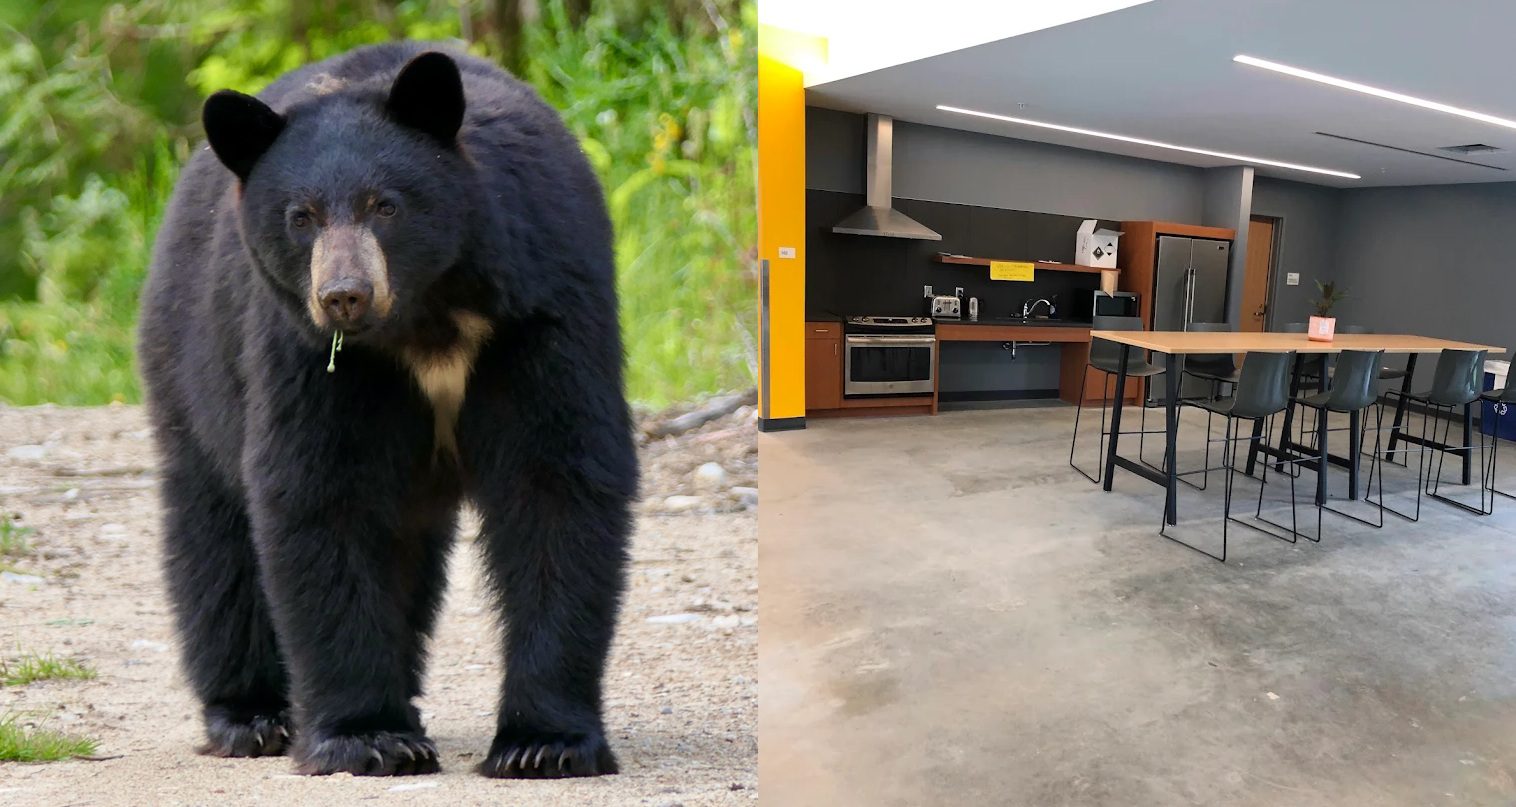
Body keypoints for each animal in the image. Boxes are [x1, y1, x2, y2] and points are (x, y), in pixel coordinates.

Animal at [137, 42, 637, 778]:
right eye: (301, 216)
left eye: (386, 205)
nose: (344, 294)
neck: (427, 316)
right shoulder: (311, 354)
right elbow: (322, 492)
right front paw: (368, 737)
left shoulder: (542, 308)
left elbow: (557, 480)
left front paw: (543, 742)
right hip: (193, 361)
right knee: (214, 536)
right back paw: (250, 714)